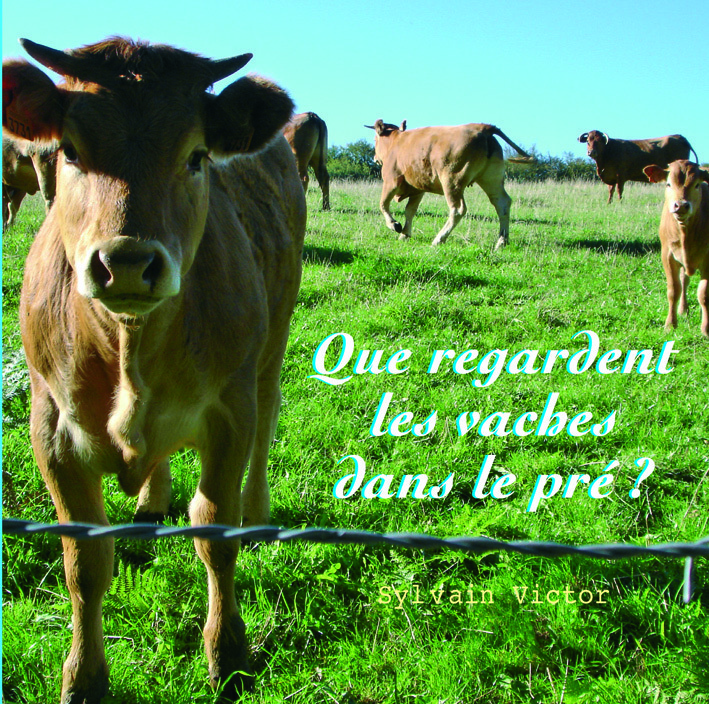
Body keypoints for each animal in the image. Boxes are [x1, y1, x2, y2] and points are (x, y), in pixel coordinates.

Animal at [2, 36, 306, 702]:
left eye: (196, 156)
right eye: (69, 149)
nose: (126, 262)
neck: (126, 346)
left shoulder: (229, 411)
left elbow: (215, 530)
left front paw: (228, 651)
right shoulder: (51, 428)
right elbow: (84, 564)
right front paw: (83, 673)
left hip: (272, 343)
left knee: (270, 413)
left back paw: (257, 512)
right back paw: (149, 502)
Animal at [365, 119, 533, 249]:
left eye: (374, 140)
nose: (375, 158)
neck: (396, 142)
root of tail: (481, 128)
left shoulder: (391, 181)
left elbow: (383, 204)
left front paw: (394, 225)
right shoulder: (418, 189)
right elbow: (410, 211)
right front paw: (405, 234)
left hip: (451, 182)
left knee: (458, 209)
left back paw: (438, 239)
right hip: (491, 180)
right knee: (502, 204)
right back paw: (501, 242)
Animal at [644, 160, 709, 337]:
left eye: (697, 185)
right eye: (668, 184)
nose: (680, 205)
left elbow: (703, 294)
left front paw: (705, 328)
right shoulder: (667, 255)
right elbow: (674, 290)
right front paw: (670, 324)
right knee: (684, 280)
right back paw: (683, 310)